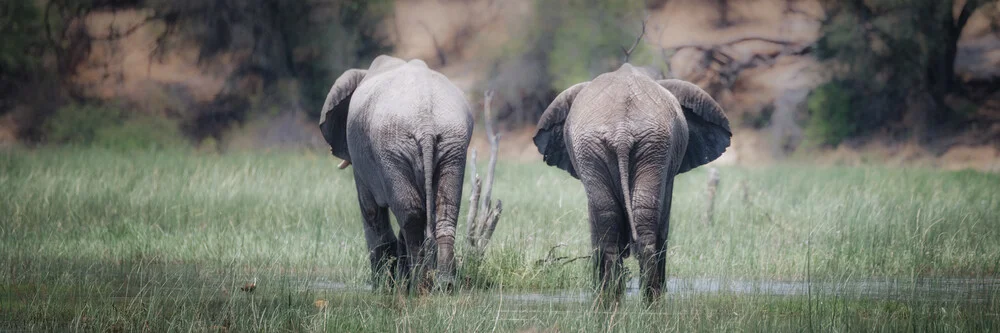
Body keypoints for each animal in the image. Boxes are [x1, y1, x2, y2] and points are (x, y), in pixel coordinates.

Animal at [322, 54, 474, 290]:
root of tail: (426, 123)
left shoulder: (362, 160)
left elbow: (370, 210)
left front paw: (382, 286)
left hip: (392, 149)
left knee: (411, 216)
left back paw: (420, 285)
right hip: (452, 144)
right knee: (445, 210)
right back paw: (444, 285)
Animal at [532, 63, 736, 304]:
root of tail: (621, 131)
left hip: (646, 145)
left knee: (618, 218)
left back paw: (628, 296)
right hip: (611, 146)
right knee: (619, 217)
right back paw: (629, 295)